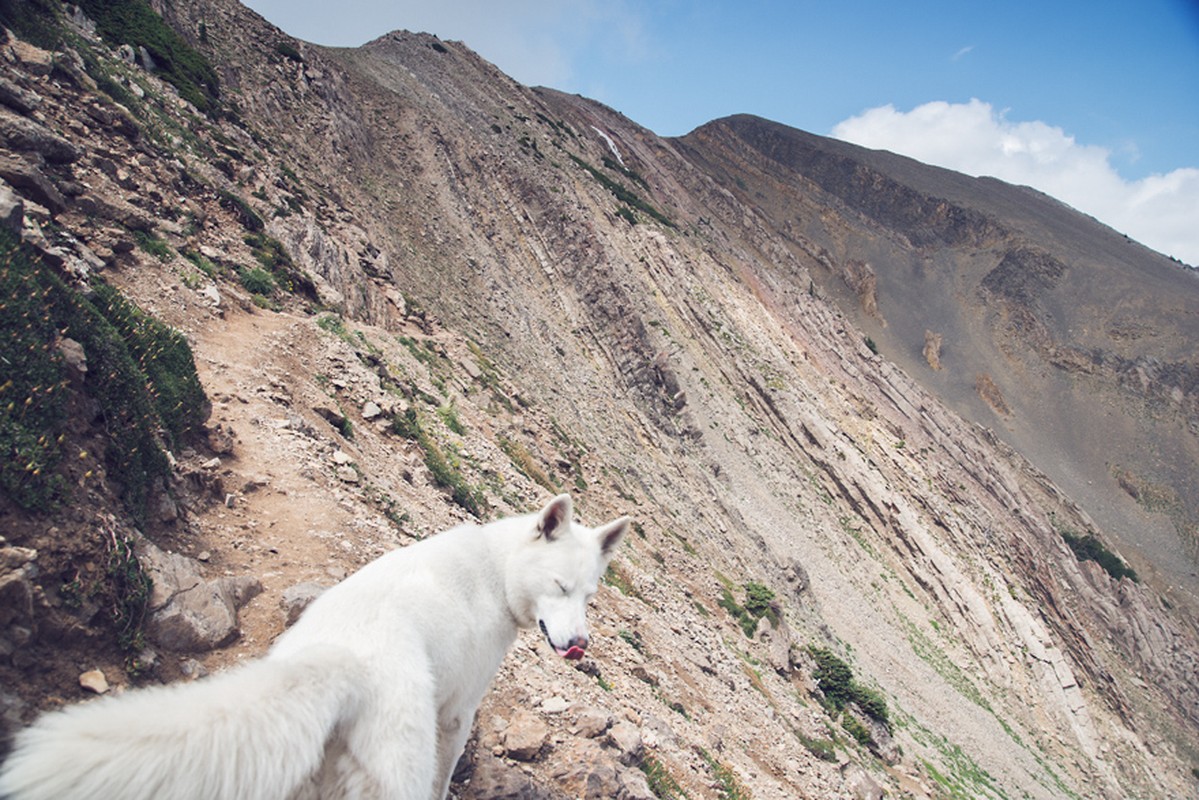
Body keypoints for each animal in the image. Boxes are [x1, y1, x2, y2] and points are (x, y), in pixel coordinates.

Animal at [0, 494, 628, 800]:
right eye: (559, 587)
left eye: (590, 595)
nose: (578, 645)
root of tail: (338, 660)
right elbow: (446, 776)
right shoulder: (458, 712)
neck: (496, 571)